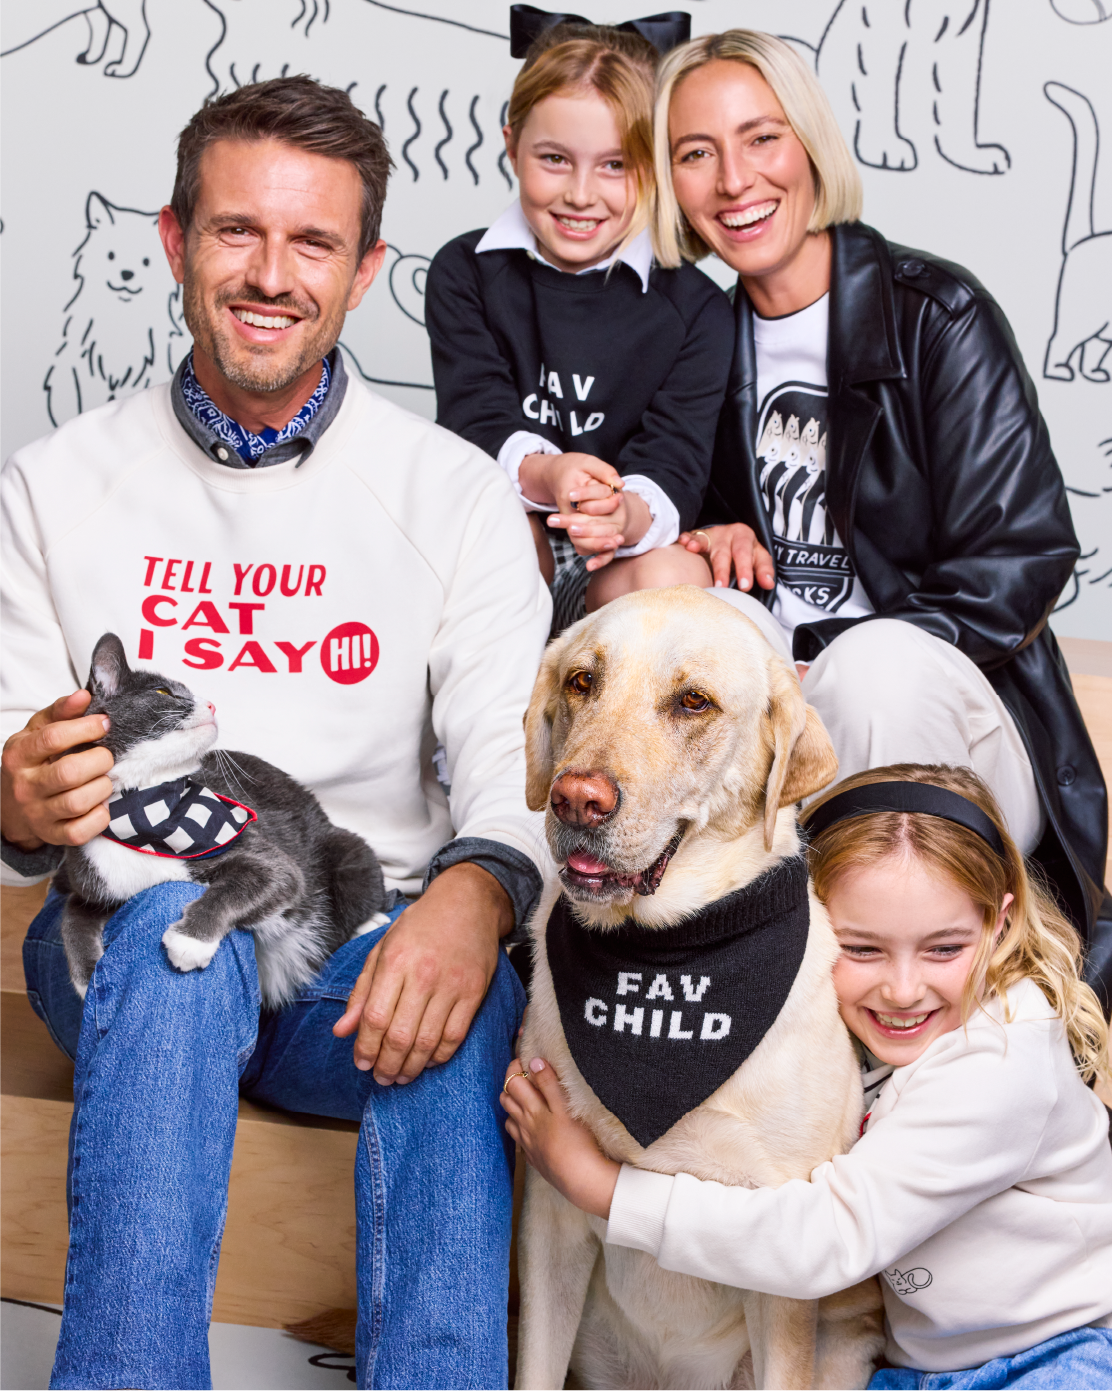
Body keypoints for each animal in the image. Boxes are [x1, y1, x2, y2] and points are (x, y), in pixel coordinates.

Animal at [56, 637, 389, 1007]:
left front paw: (190, 940)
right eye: (163, 692)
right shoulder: (92, 876)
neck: (144, 810)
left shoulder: (272, 861)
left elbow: (250, 883)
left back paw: (371, 920)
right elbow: (72, 911)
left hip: (348, 853)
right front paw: (87, 977)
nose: (212, 705)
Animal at [514, 587, 884, 1391]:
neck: (666, 957)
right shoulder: (549, 1224)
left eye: (693, 701)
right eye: (582, 681)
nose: (575, 799)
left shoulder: (782, 1258)